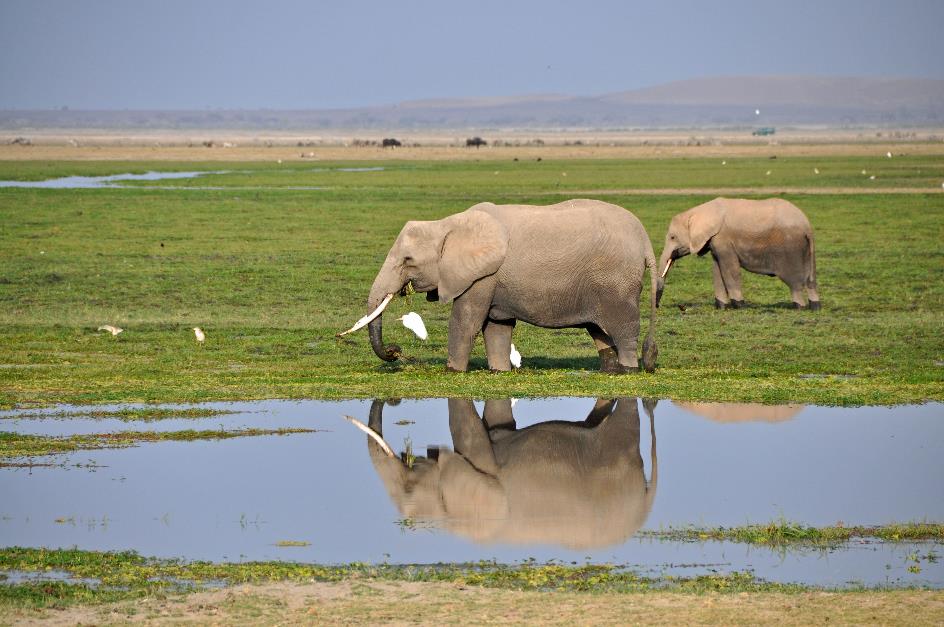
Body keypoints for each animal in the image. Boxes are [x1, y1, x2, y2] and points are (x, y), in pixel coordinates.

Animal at [342, 201, 660, 372]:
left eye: (408, 261)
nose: (395, 352)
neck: (448, 223)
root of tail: (645, 239)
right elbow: (497, 328)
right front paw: (499, 371)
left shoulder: (482, 277)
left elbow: (466, 323)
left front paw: (452, 372)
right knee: (600, 333)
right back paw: (611, 371)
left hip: (617, 281)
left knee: (623, 330)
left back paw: (629, 369)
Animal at [656, 197, 820, 310]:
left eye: (672, 237)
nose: (657, 305)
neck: (698, 211)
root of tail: (807, 225)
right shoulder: (716, 241)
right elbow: (717, 270)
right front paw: (721, 306)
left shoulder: (723, 239)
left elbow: (730, 269)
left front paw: (739, 305)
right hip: (806, 250)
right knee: (810, 280)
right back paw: (815, 306)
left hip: (790, 248)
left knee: (794, 281)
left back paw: (799, 307)